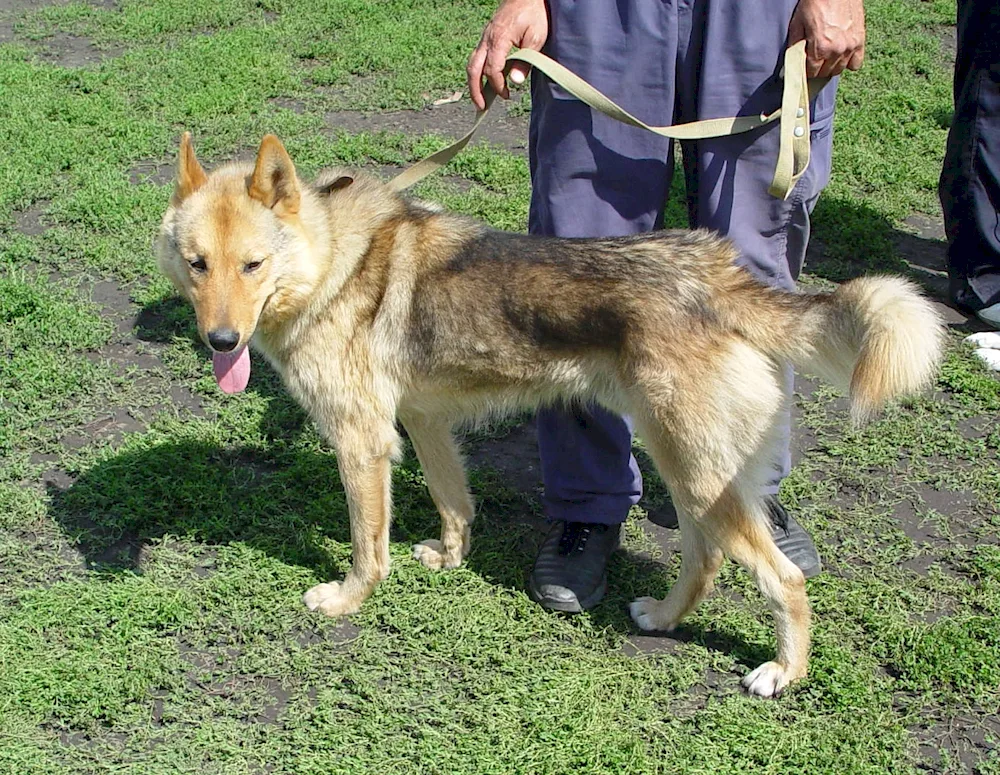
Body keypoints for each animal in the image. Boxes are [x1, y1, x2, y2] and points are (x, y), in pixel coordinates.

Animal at [156, 132, 944, 696]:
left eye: (253, 266)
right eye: (198, 264)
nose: (221, 342)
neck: (329, 264)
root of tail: (715, 271)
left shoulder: (362, 442)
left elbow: (366, 546)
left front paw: (349, 599)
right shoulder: (423, 422)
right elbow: (453, 502)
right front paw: (449, 558)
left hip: (698, 475)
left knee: (784, 579)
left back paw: (784, 671)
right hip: (689, 472)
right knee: (705, 559)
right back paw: (662, 619)